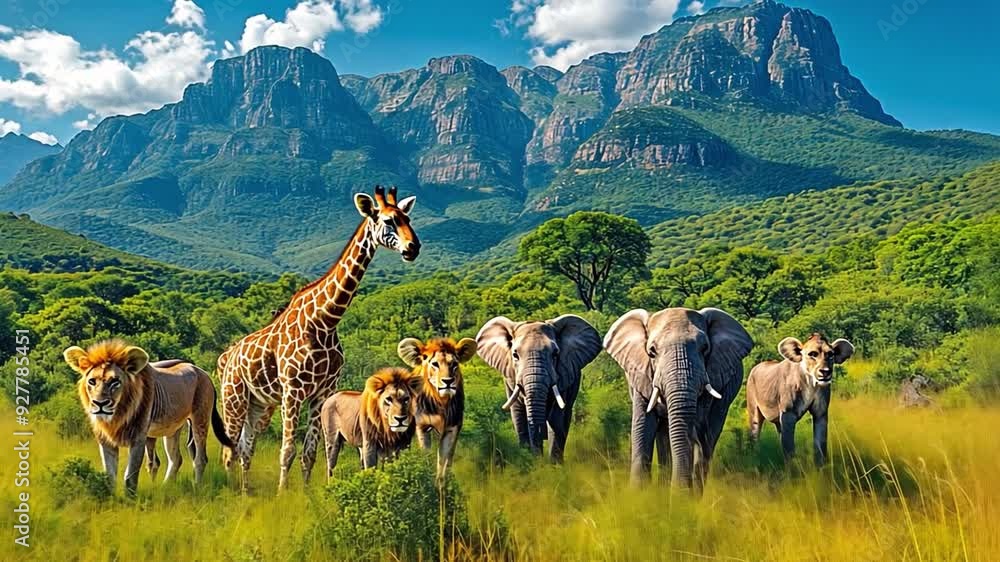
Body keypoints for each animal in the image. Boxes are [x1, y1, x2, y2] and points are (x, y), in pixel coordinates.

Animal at [63, 339, 234, 494]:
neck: (117, 415)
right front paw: (110, 499)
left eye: (115, 382)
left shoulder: (138, 438)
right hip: (173, 428)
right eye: (92, 381)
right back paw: (165, 488)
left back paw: (196, 488)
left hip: (200, 419)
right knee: (176, 458)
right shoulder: (105, 440)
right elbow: (110, 475)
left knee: (200, 458)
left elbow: (130, 476)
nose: (100, 403)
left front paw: (129, 501)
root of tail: (204, 373)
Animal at [218, 186, 421, 492]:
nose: (413, 247)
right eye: (388, 220)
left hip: (260, 406)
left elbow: (310, 453)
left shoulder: (321, 393)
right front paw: (282, 494)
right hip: (234, 398)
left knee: (245, 448)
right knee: (228, 450)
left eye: (408, 218)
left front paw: (305, 494)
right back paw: (230, 491)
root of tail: (226, 358)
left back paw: (244, 492)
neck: (325, 321)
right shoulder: (293, 391)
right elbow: (287, 450)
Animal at [476, 315, 602, 462]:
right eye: (515, 355)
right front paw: (531, 463)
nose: (542, 435)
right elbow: (519, 418)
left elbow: (557, 418)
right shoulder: (510, 379)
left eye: (555, 354)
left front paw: (553, 466)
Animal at [604, 307, 753, 490]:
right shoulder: (641, 374)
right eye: (651, 351)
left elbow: (694, 424)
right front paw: (639, 494)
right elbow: (643, 426)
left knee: (710, 433)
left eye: (705, 348)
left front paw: (681, 495)